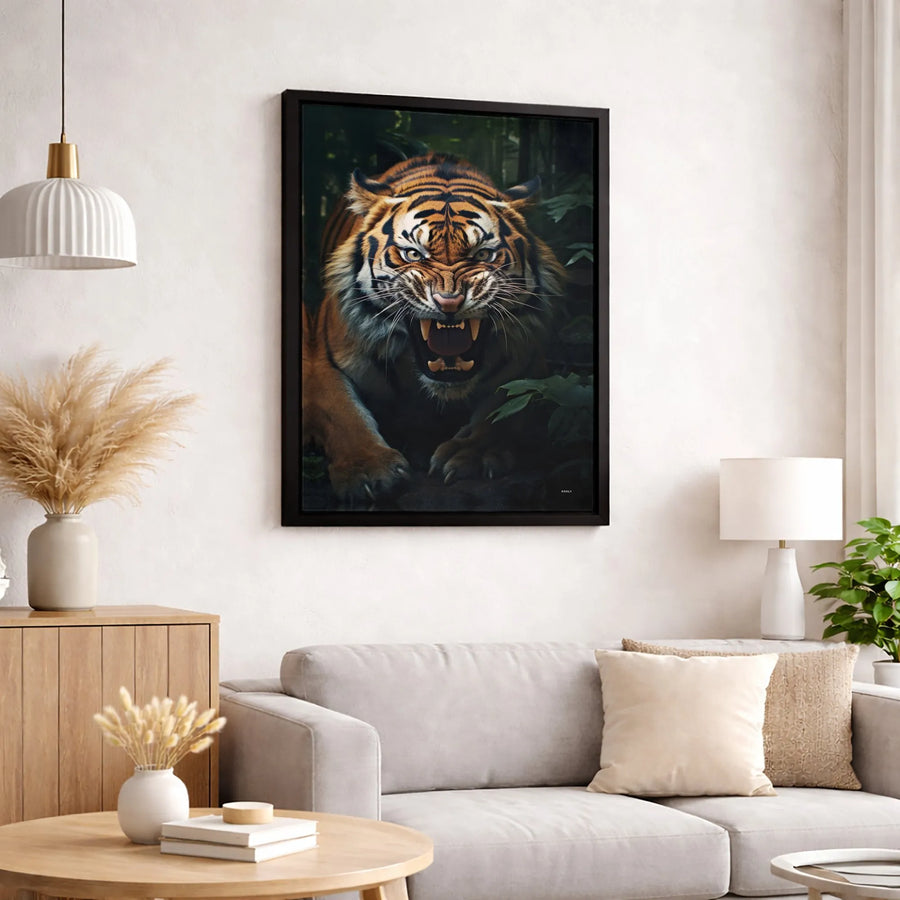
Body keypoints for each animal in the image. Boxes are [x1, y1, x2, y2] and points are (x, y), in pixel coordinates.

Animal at [302, 153, 566, 504]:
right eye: (414, 253)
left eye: (483, 254)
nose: (449, 302)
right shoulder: (319, 362)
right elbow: (344, 414)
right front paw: (369, 468)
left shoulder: (531, 367)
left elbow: (502, 412)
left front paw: (471, 454)